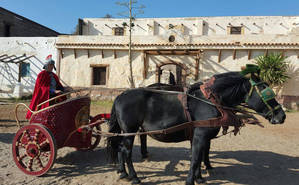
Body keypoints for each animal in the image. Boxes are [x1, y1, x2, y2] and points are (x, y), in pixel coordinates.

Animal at [106, 71, 288, 184]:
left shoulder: (199, 137)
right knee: (126, 152)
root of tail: (120, 96)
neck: (211, 101)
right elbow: (195, 159)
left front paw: (199, 178)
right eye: (265, 92)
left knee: (121, 148)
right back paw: (134, 177)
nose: (282, 116)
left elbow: (200, 156)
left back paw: (124, 173)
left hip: (126, 132)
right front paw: (190, 180)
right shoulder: (201, 136)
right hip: (130, 131)